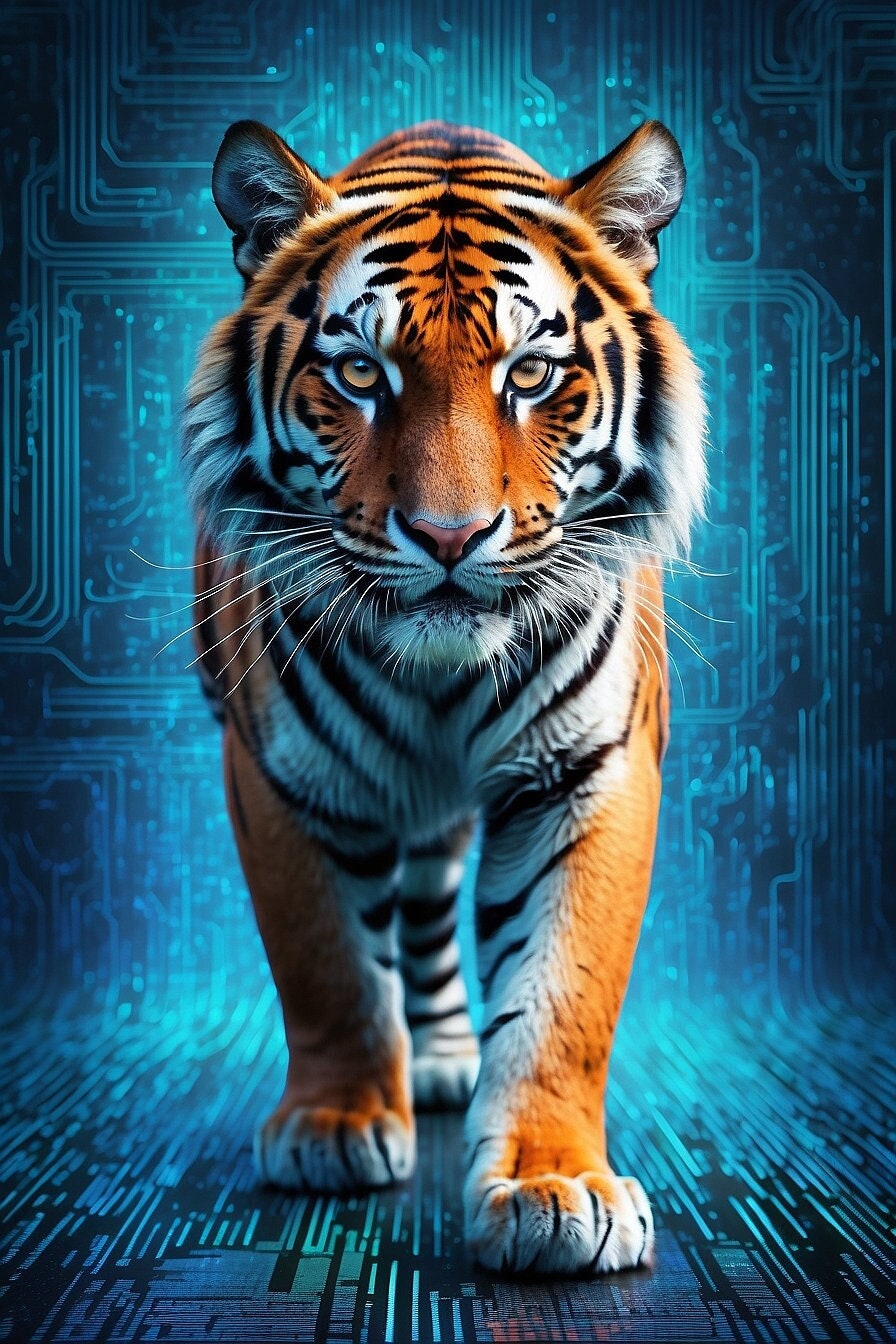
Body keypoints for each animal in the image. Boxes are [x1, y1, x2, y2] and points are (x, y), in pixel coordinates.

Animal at [182, 115, 706, 1276]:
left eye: (532, 372)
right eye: (358, 371)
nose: (449, 536)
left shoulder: (587, 774)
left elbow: (562, 997)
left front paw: (555, 1189)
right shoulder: (283, 777)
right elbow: (326, 961)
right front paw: (332, 1126)